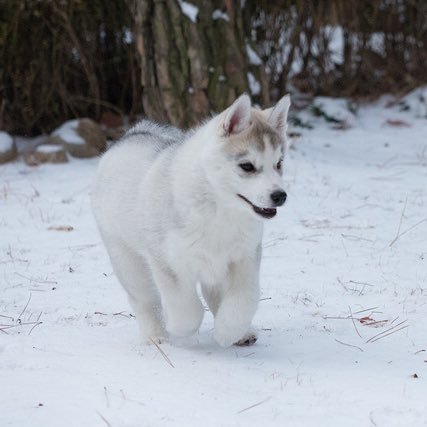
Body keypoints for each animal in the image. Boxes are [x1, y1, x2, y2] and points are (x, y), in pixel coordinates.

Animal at [92, 93, 292, 348]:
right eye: (247, 166)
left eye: (279, 163)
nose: (280, 196)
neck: (220, 209)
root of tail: (133, 134)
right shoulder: (167, 262)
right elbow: (188, 309)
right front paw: (178, 327)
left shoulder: (245, 256)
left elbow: (245, 299)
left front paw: (228, 332)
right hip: (126, 257)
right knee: (145, 299)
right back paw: (155, 335)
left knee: (213, 293)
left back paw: (241, 333)